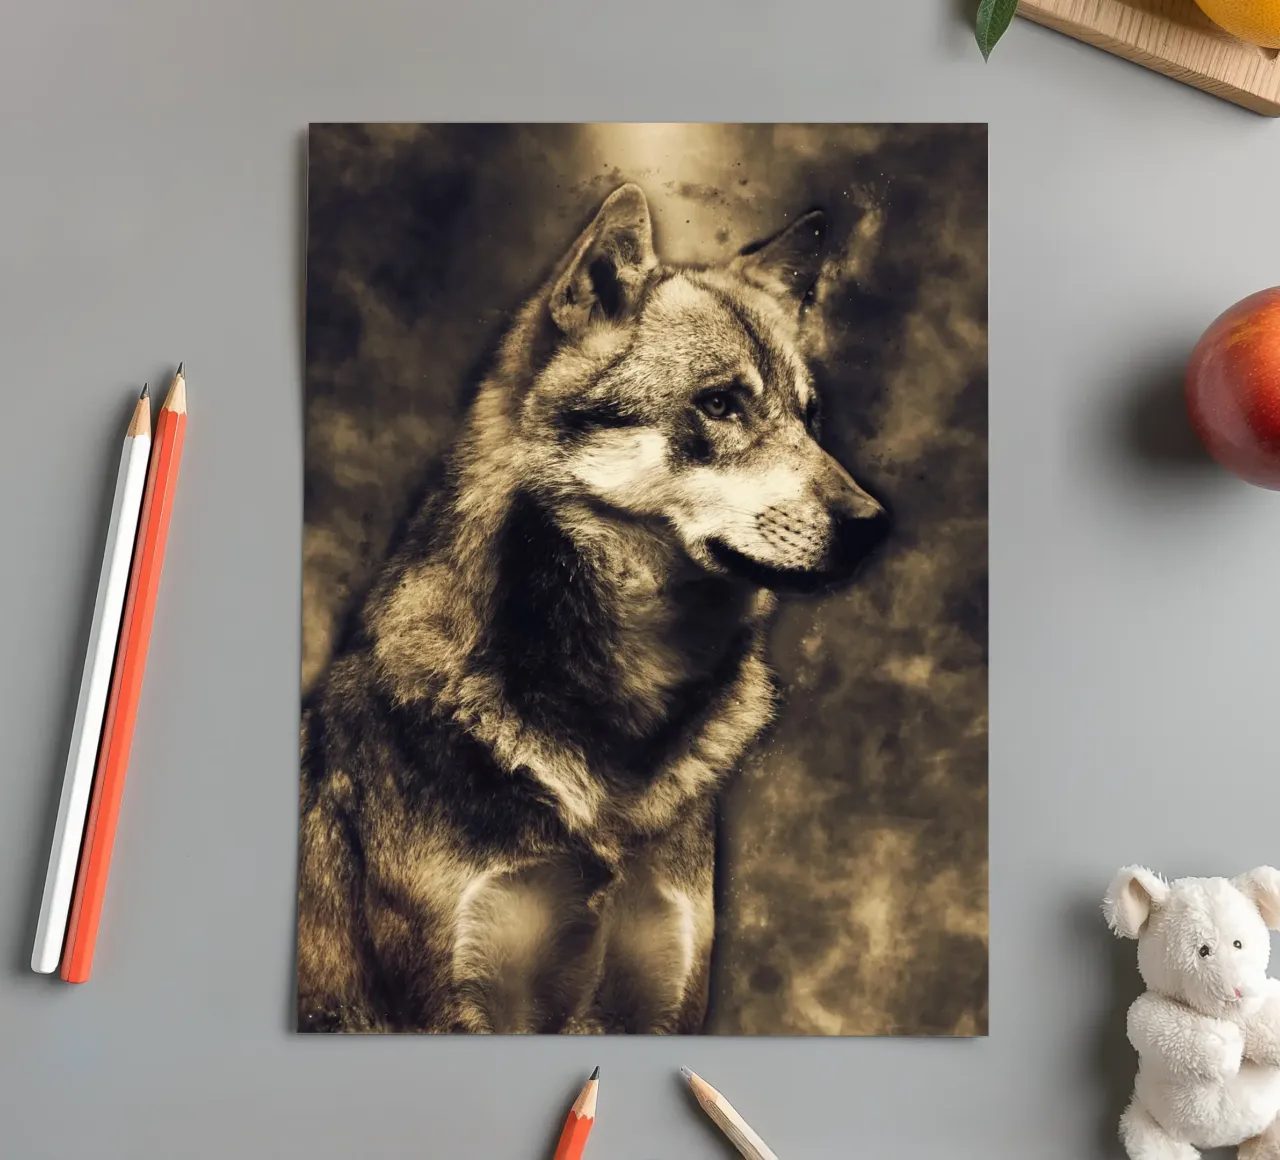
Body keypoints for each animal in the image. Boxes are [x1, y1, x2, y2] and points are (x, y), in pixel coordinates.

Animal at [296, 183, 889, 1034]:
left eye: (808, 419)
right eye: (720, 405)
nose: (875, 524)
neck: (616, 731)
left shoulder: (665, 1001)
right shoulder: (455, 1010)